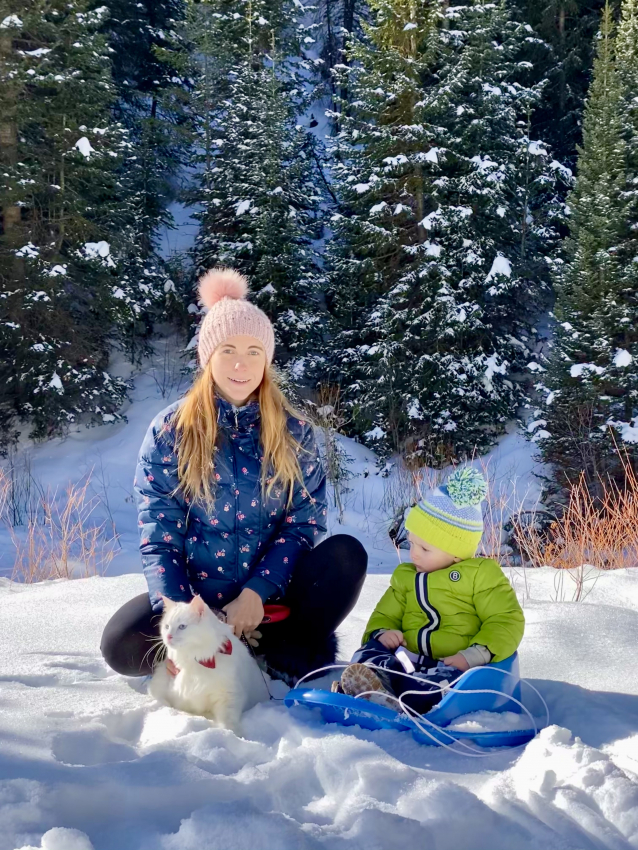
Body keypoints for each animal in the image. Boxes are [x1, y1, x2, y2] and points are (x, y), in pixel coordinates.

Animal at [149, 592, 268, 732]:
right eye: (166, 626)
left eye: (182, 626)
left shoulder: (229, 696)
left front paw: (231, 734)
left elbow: (228, 723)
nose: (168, 636)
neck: (197, 660)